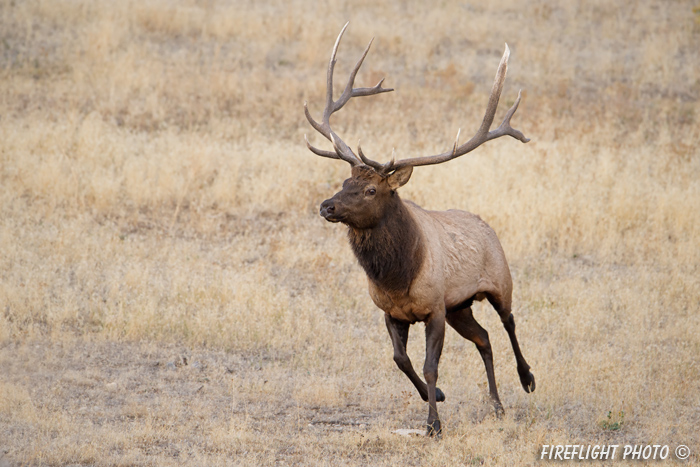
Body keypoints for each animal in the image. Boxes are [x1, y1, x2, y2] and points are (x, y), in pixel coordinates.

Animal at [302, 23, 536, 436]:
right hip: (461, 306)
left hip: (499, 281)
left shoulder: (435, 308)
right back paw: (496, 405)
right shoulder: (392, 312)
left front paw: (434, 425)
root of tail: (486, 225)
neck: (398, 275)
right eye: (344, 181)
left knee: (508, 322)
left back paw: (527, 379)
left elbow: (429, 366)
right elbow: (400, 360)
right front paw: (437, 397)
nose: (326, 206)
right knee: (485, 339)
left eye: (371, 190)